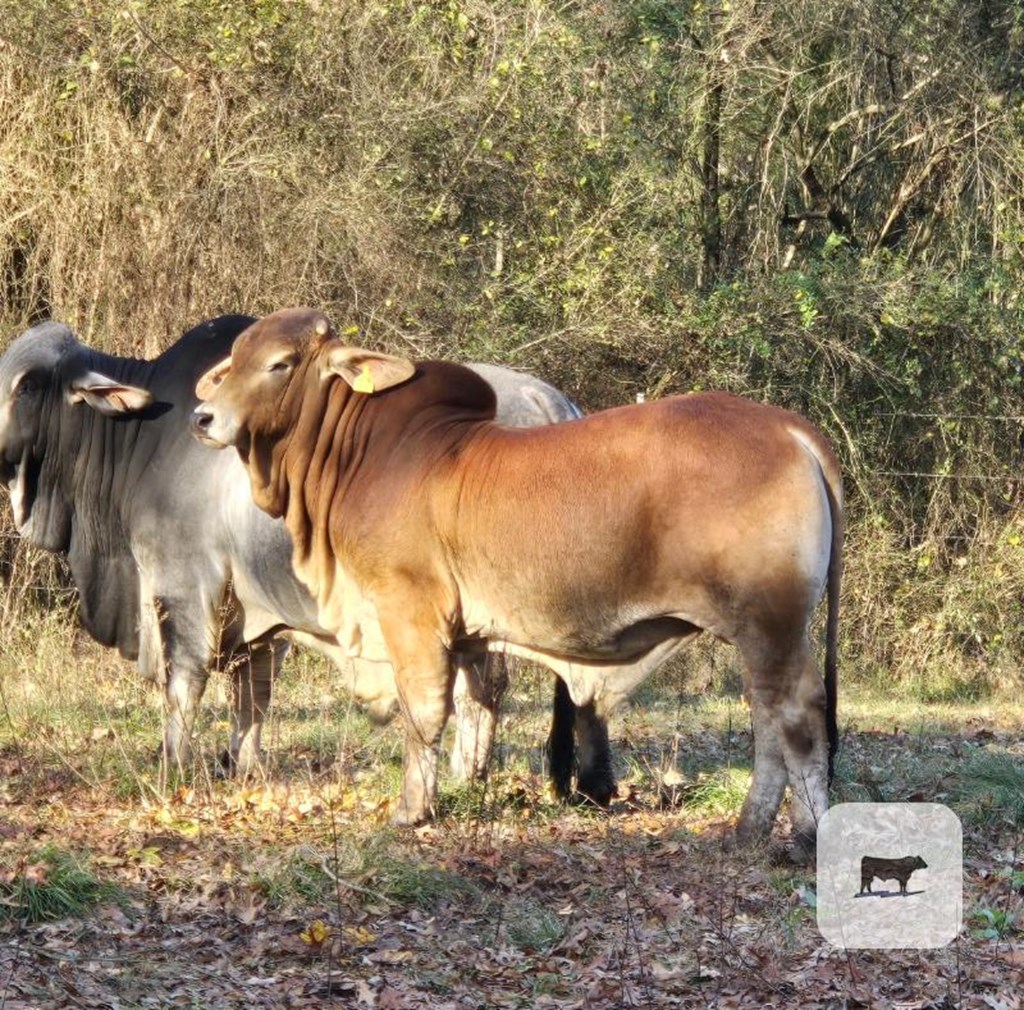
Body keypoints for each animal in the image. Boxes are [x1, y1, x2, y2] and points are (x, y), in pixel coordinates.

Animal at [0, 315, 581, 770]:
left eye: (26, 386)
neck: (140, 440)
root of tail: (547, 399)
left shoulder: (183, 584)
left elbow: (185, 682)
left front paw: (174, 765)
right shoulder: (257, 608)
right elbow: (253, 692)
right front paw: (242, 763)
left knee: (481, 685)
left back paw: (465, 774)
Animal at [190, 305, 839, 844]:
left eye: (280, 364)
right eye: (235, 360)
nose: (203, 417)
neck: (359, 456)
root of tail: (788, 428)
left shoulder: (408, 610)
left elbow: (423, 710)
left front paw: (411, 810)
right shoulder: (467, 634)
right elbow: (473, 704)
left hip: (770, 621)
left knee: (796, 716)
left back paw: (801, 833)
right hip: (762, 632)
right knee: (768, 718)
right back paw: (753, 828)